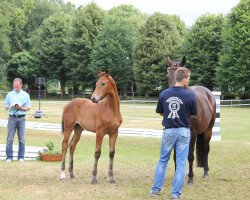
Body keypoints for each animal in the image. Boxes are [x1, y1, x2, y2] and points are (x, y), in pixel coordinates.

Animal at [166, 56, 217, 184]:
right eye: (167, 76)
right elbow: (176, 156)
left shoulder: (192, 133)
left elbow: (190, 156)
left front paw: (190, 178)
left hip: (208, 130)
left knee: (206, 149)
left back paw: (206, 172)